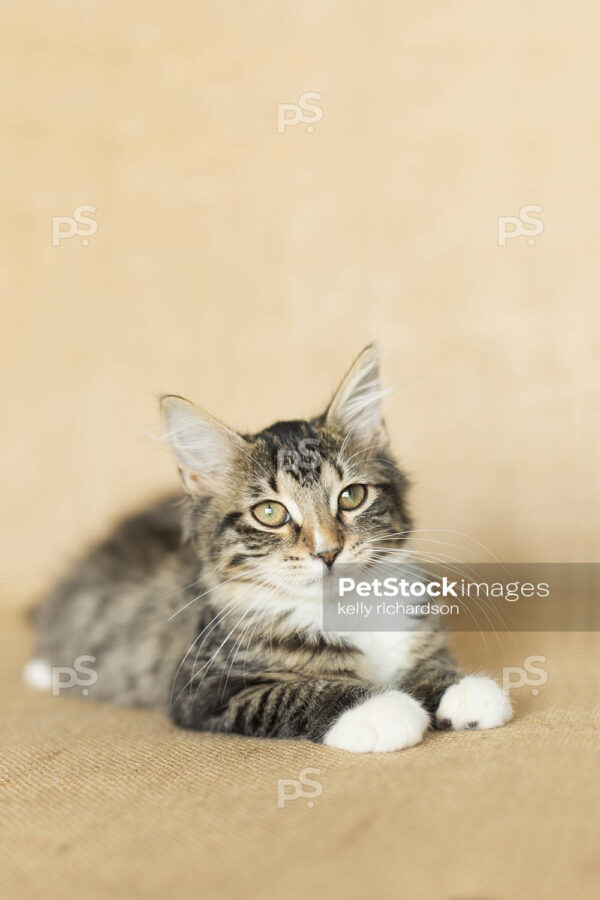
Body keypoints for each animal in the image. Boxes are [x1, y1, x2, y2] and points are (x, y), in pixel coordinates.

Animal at [24, 346, 510, 752]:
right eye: (271, 513)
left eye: (351, 496)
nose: (327, 551)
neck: (346, 609)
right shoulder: (203, 688)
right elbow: (297, 691)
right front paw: (380, 709)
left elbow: (432, 664)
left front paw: (462, 690)